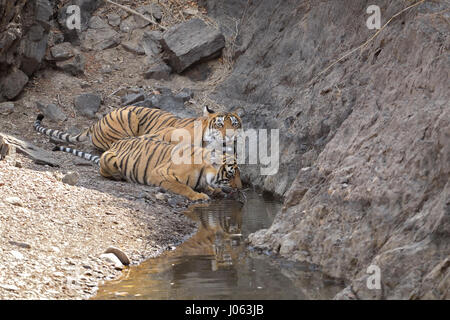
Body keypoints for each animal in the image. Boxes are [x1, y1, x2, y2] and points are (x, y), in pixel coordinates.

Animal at [52, 134, 239, 200]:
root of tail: (114, 144)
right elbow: (183, 187)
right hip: (109, 160)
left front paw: (215, 191)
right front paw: (198, 196)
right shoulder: (160, 174)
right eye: (230, 175)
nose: (240, 188)